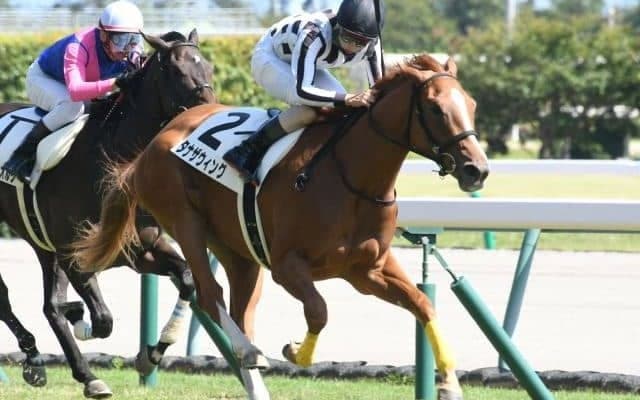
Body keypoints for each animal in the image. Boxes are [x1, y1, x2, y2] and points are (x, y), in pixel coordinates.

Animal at [0, 29, 215, 398]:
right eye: (176, 70)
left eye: (209, 67)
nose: (209, 110)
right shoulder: (74, 254)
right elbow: (101, 320)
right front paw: (79, 315)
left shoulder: (139, 251)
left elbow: (187, 279)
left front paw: (152, 354)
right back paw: (52, 360)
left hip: (43, 246)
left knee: (49, 307)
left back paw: (53, 365)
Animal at [71, 54, 489, 400]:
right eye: (435, 108)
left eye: (471, 105)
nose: (477, 170)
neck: (351, 177)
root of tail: (150, 147)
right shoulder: (288, 266)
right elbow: (319, 310)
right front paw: (295, 351)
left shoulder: (367, 270)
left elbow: (423, 304)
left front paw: (449, 384)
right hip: (184, 219)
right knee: (208, 294)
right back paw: (247, 351)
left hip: (238, 252)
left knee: (240, 309)